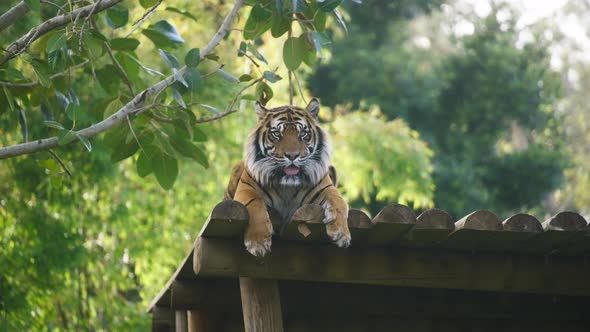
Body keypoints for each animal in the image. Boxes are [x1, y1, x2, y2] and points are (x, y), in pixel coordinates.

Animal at [224, 98, 350, 256]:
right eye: (277, 133)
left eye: (303, 133)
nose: (292, 155)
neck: (287, 186)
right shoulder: (246, 190)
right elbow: (255, 206)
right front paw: (258, 243)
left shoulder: (327, 189)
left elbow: (340, 203)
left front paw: (341, 233)